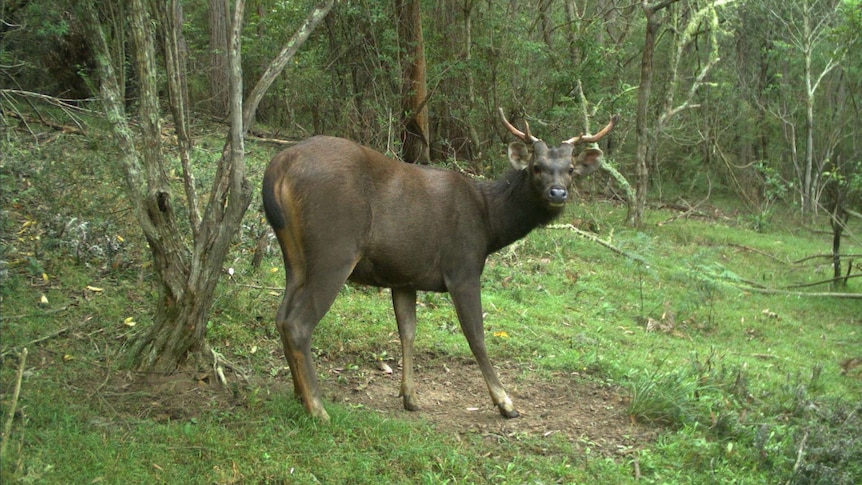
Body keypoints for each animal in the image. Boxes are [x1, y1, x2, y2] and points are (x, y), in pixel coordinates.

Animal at [260, 109, 616, 420]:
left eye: (570, 170)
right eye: (537, 167)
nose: (557, 193)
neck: (490, 223)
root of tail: (280, 164)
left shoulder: (404, 276)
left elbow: (407, 331)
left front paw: (410, 397)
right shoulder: (463, 268)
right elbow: (476, 336)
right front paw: (505, 403)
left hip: (295, 257)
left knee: (281, 317)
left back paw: (299, 394)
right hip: (335, 247)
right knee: (298, 323)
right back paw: (318, 409)